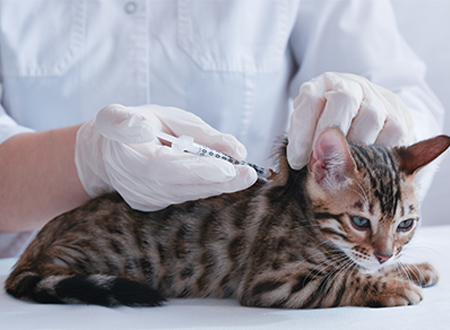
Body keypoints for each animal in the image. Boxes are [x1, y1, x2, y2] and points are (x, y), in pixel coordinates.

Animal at [6, 127, 450, 308]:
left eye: (405, 225)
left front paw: (409, 268)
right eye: (360, 222)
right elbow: (343, 279)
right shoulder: (274, 282)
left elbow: (358, 266)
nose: (385, 254)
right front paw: (392, 285)